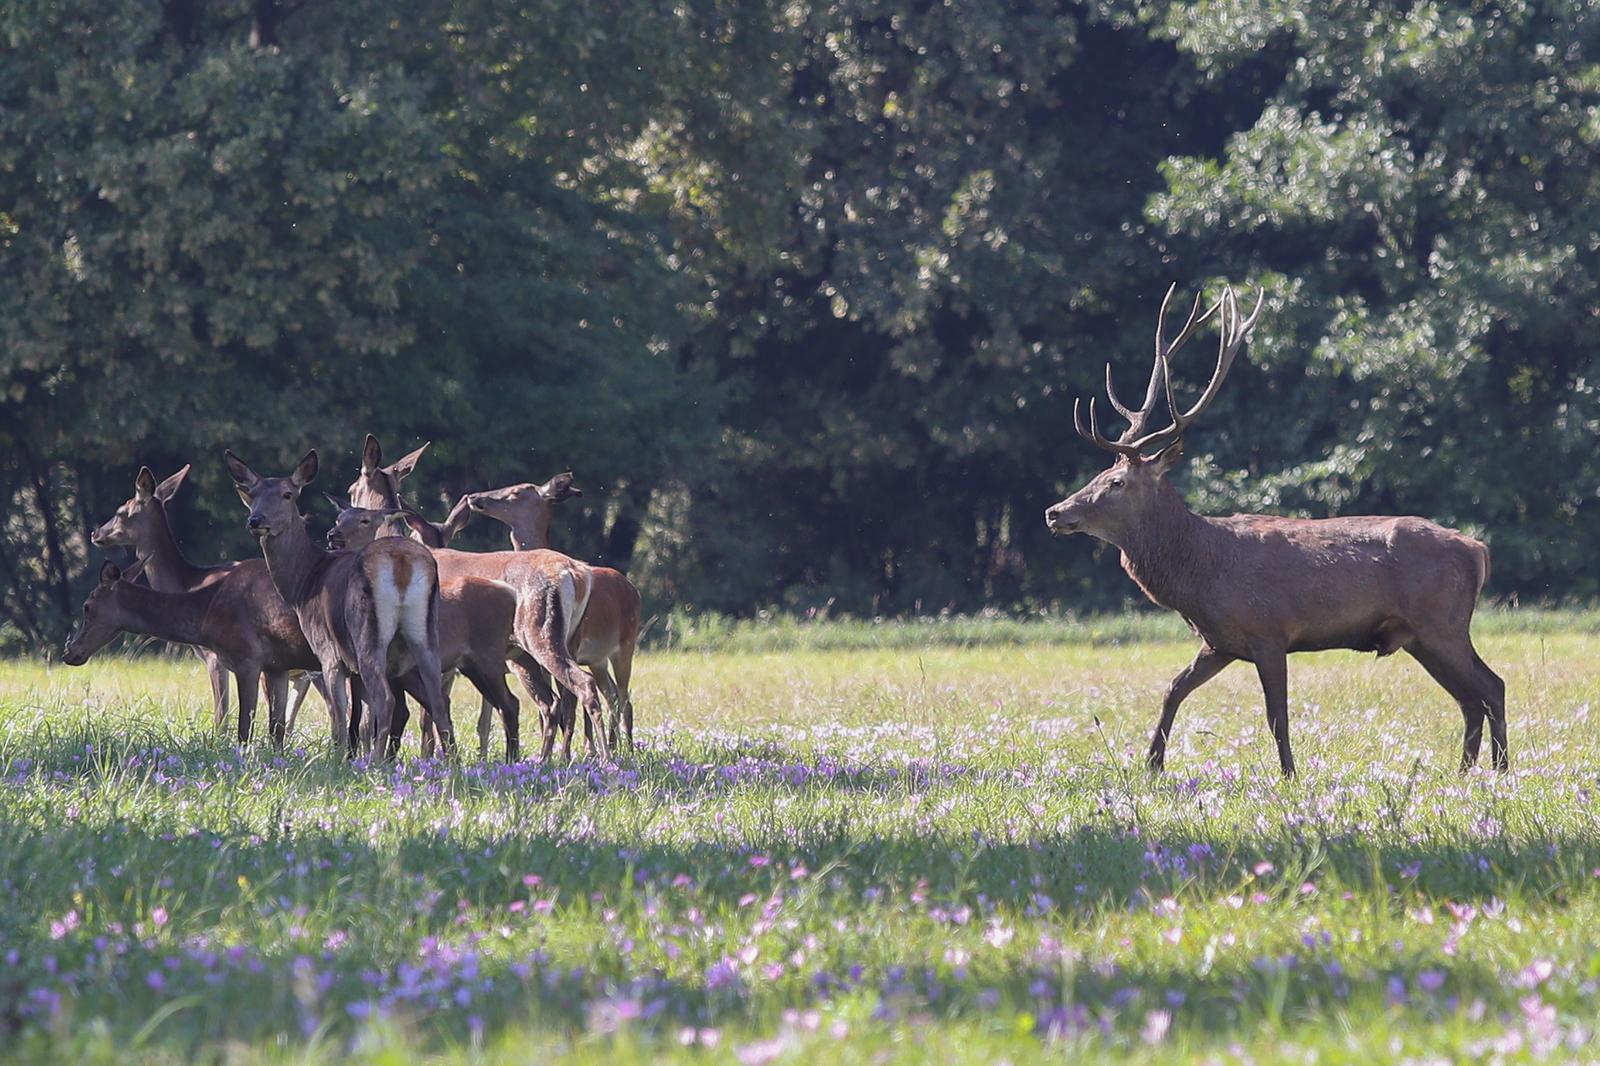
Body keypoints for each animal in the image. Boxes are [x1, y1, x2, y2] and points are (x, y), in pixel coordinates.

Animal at [225, 448, 454, 755]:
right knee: (438, 701)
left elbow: (339, 719)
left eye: (288, 494)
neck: (304, 584)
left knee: (386, 700)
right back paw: (451, 761)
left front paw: (338, 757)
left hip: (367, 634)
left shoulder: (328, 653)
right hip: (426, 634)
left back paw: (375, 760)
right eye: (253, 492)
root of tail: (401, 562)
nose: (256, 520)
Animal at [1043, 286, 1504, 777]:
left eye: (1116, 482)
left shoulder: (1269, 631)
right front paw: (1151, 765)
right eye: (1100, 474)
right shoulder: (1219, 642)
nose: (1054, 512)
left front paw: (1290, 775)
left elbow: (1276, 715)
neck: (1199, 570)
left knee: (1491, 686)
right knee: (1469, 699)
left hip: (1443, 621)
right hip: (1419, 635)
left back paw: (1500, 771)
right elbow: (1173, 689)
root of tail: (1478, 549)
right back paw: (1464, 772)